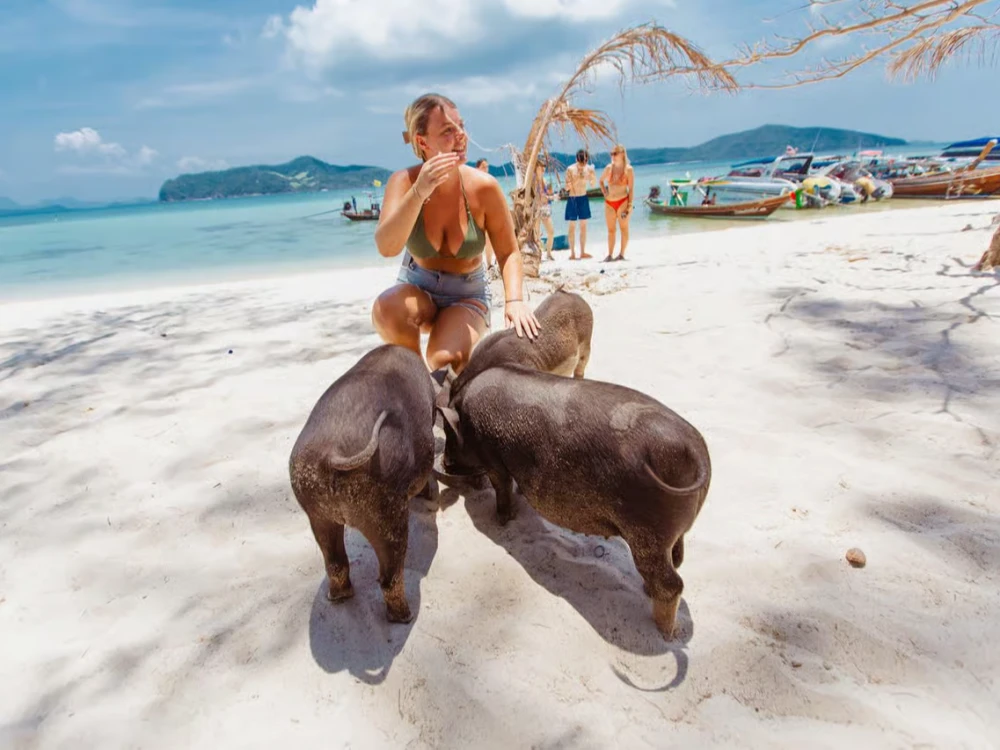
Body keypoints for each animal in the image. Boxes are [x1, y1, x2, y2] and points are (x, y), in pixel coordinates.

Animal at [289, 344, 436, 623]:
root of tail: (332, 452)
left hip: (316, 511)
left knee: (335, 563)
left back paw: (337, 597)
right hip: (388, 514)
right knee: (390, 576)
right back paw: (405, 617)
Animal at [437, 364, 711, 638]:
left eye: (450, 433)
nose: (444, 463)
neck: (468, 422)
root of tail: (696, 452)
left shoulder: (493, 460)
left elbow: (501, 487)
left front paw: (501, 521)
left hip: (646, 534)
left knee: (672, 584)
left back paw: (666, 633)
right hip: (671, 533)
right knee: (677, 558)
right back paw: (649, 595)